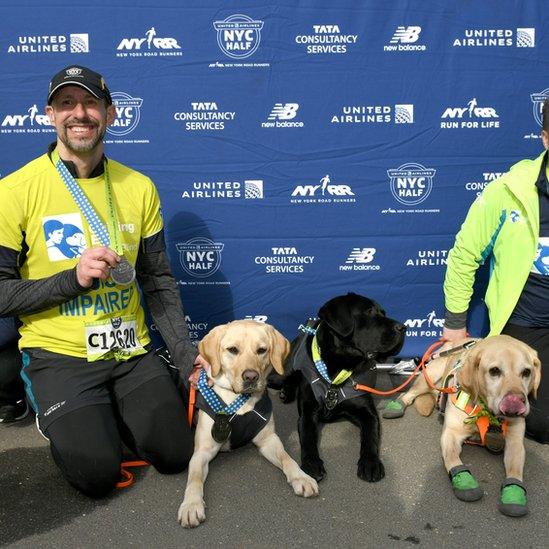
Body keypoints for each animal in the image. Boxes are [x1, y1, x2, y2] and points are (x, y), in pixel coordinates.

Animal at [178, 318, 318, 528]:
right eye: (232, 350)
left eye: (262, 350)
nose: (251, 377)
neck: (240, 400)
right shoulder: (201, 452)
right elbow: (193, 479)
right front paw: (191, 505)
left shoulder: (269, 440)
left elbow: (287, 458)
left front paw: (301, 477)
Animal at [278, 292, 402, 480]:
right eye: (369, 311)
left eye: (383, 312)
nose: (404, 327)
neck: (338, 369)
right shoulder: (307, 414)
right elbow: (307, 438)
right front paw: (311, 463)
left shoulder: (368, 412)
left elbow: (370, 436)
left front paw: (370, 462)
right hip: (284, 370)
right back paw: (286, 392)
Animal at [382, 334, 540, 520]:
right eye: (494, 371)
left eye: (526, 372)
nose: (516, 403)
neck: (486, 412)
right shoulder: (451, 434)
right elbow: (453, 459)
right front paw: (465, 482)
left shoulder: (515, 443)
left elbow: (515, 470)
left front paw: (513, 494)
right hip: (428, 377)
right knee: (407, 394)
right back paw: (396, 406)